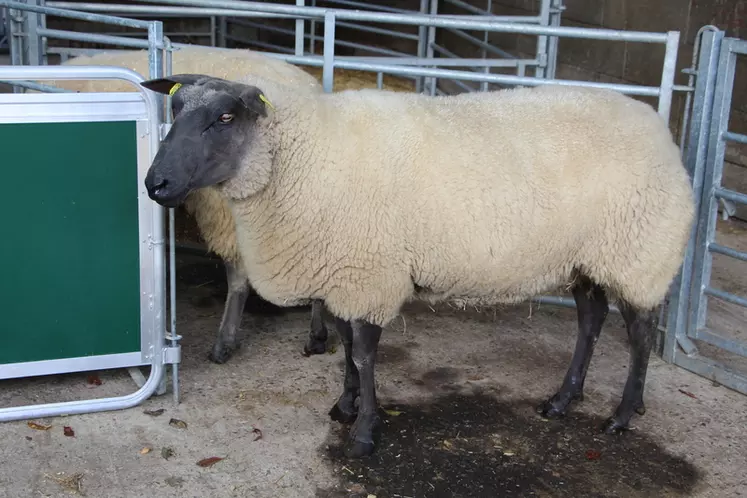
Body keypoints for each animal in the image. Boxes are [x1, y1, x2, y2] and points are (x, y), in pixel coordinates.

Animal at [139, 74, 696, 460]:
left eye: (225, 118)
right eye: (175, 108)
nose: (155, 184)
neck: (296, 158)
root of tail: (660, 129)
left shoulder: (368, 273)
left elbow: (364, 354)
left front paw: (364, 432)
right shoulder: (346, 271)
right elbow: (345, 344)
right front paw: (345, 407)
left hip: (638, 254)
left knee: (640, 334)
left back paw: (622, 415)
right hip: (586, 259)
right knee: (590, 322)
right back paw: (563, 400)